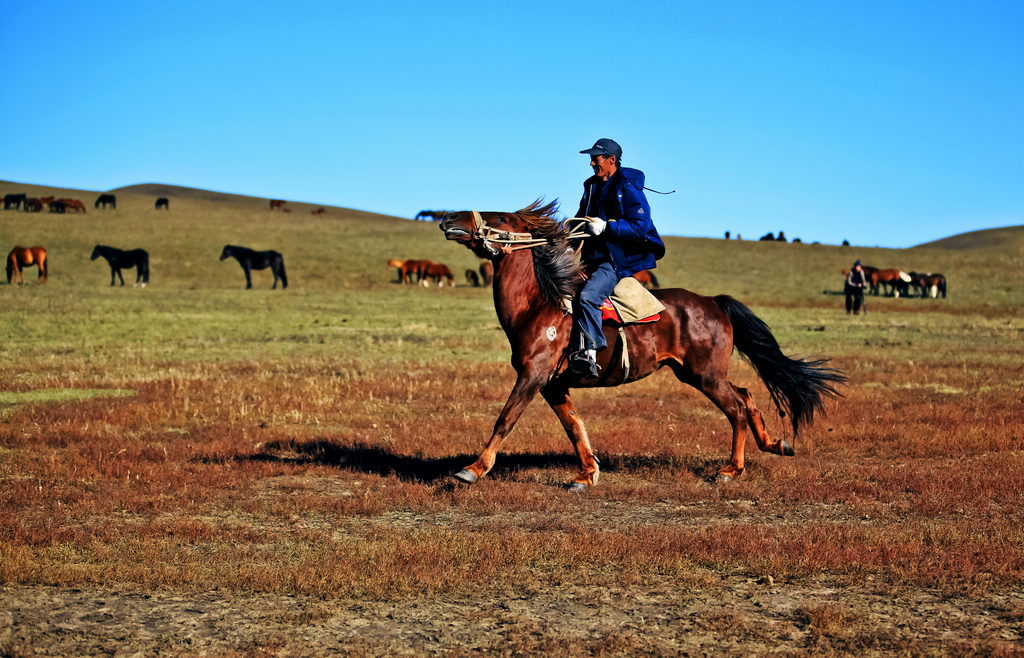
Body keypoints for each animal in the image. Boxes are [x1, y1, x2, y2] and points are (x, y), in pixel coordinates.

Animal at [436, 200, 843, 489]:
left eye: (501, 217)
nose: (448, 217)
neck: (540, 304)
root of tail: (713, 301)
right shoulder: (553, 385)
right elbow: (575, 427)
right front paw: (587, 473)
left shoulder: (533, 376)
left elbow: (505, 419)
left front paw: (473, 469)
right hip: (696, 373)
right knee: (746, 395)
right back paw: (775, 444)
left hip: (704, 375)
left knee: (737, 407)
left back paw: (731, 469)